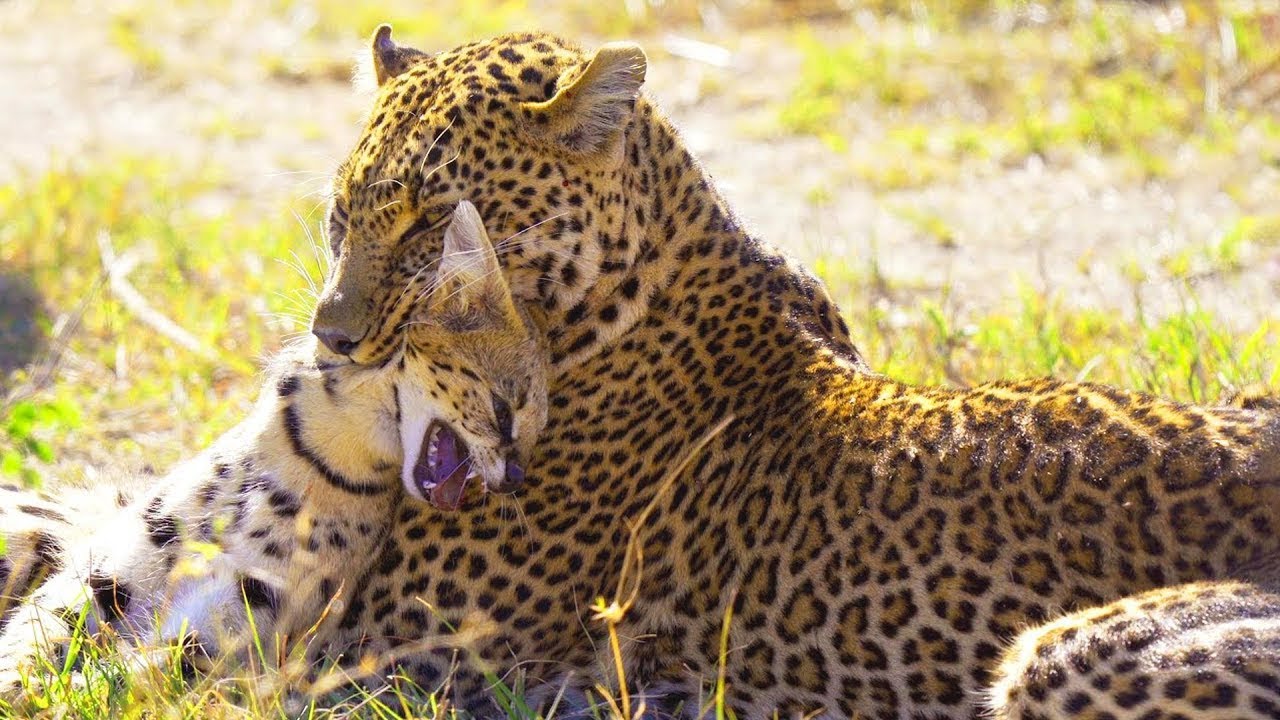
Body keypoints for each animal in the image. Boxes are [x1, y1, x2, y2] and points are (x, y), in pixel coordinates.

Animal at [0, 201, 548, 697]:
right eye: (504, 410)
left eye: (534, 432)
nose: (515, 479)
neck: (313, 456)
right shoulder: (102, 574)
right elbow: (35, 638)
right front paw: (24, 687)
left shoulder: (239, 626)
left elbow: (129, 676)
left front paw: (66, 692)